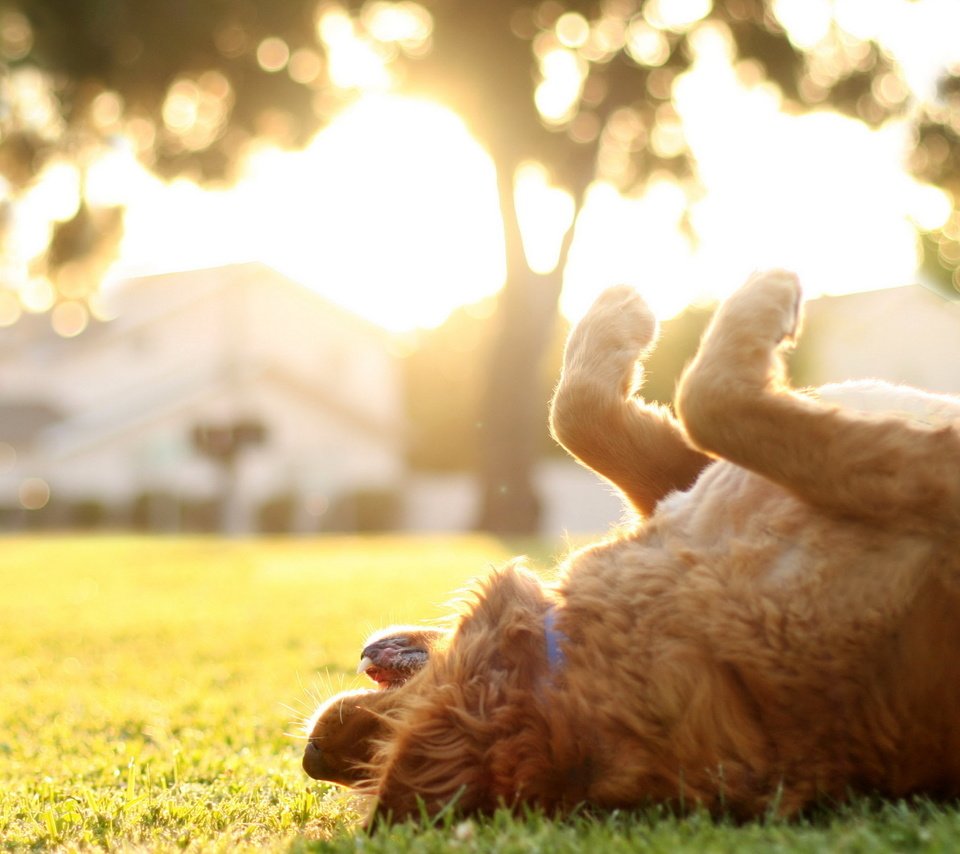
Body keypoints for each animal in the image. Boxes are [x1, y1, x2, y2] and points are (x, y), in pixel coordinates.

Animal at [300, 272, 960, 824]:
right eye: (371, 764)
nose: (312, 756)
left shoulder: (691, 482)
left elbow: (579, 416)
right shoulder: (924, 479)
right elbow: (708, 399)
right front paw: (760, 294)